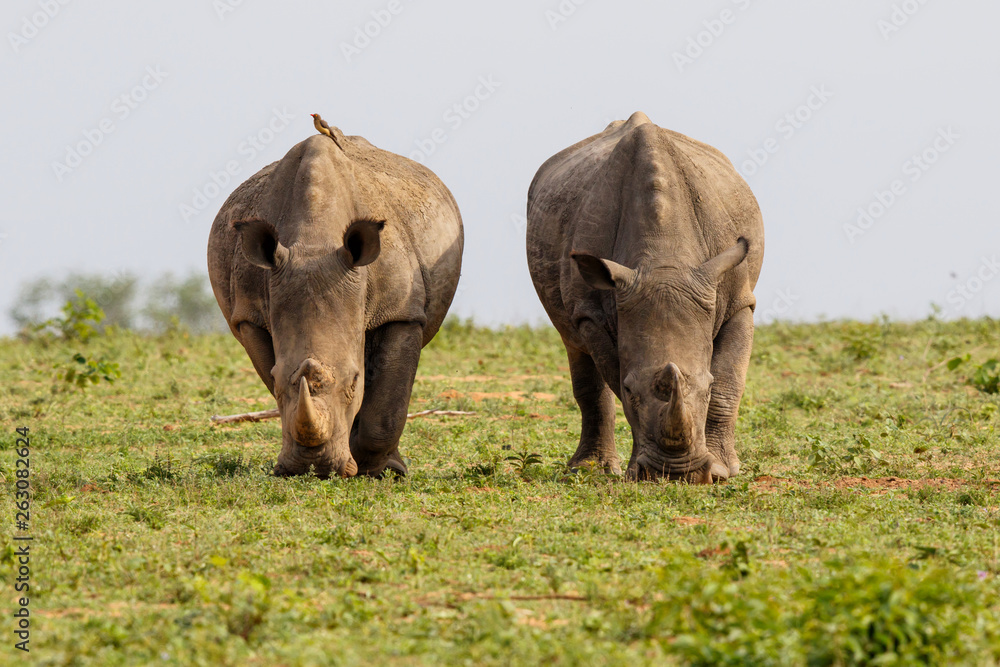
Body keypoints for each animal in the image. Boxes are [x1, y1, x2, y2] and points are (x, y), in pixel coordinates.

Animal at [208, 129, 463, 478]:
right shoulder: (249, 314)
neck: (315, 241)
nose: (313, 467)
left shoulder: (401, 311)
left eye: (354, 381)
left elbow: (386, 404)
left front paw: (379, 471)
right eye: (275, 378)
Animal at [526, 112, 764, 483]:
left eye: (707, 388)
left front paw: (723, 470)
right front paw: (637, 473)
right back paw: (588, 469)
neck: (665, 262)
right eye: (629, 389)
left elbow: (729, 382)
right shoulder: (592, 312)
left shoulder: (739, 299)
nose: (677, 475)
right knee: (573, 343)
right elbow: (613, 375)